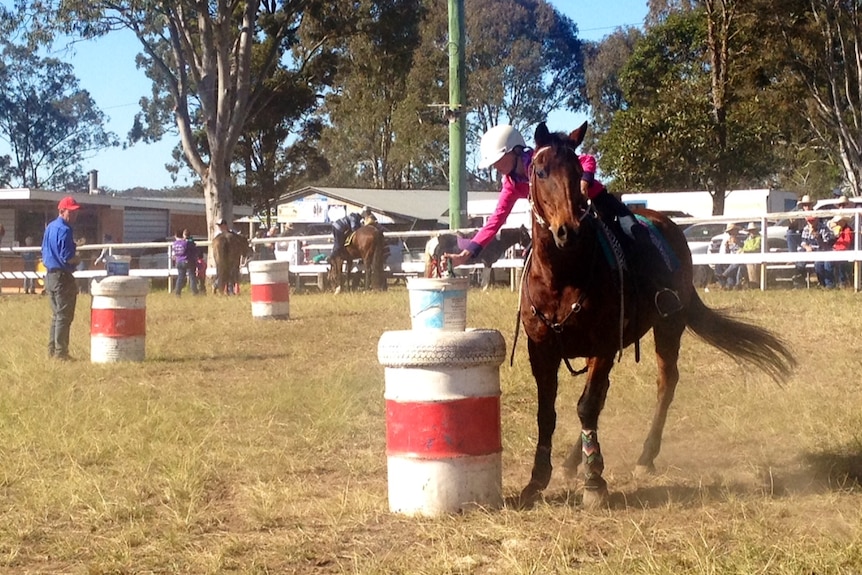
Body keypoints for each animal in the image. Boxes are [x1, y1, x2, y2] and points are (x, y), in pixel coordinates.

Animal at [516, 121, 800, 508]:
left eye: (577, 172)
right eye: (541, 171)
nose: (568, 230)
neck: (563, 278)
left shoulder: (604, 345)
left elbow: (587, 406)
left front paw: (595, 482)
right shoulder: (542, 351)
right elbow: (549, 412)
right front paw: (536, 481)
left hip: (668, 326)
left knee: (664, 383)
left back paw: (645, 456)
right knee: (602, 395)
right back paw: (574, 461)